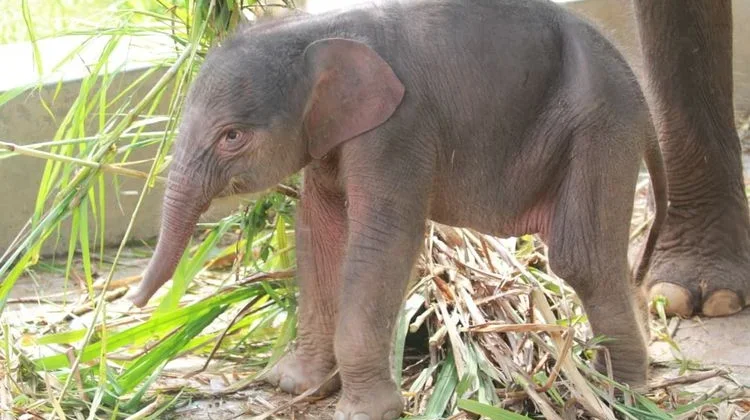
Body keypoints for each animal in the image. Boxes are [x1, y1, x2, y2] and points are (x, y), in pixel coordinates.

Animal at [127, 0, 749, 418]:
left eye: (232, 136)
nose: (133, 307)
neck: (318, 31)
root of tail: (638, 96)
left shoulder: (399, 132)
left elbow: (381, 243)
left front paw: (363, 412)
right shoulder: (332, 139)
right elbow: (318, 234)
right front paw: (293, 385)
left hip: (600, 129)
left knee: (582, 258)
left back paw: (620, 394)